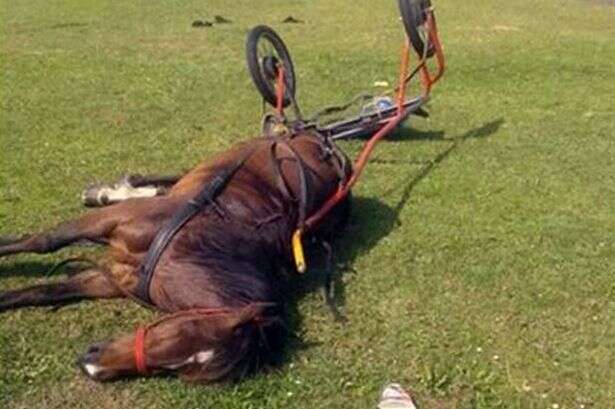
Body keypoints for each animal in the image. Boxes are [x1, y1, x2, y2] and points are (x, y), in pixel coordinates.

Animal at [0, 131, 352, 382]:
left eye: (176, 369)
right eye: (177, 329)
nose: (91, 365)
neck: (191, 246)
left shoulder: (113, 278)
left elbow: (46, 291)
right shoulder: (112, 220)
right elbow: (44, 242)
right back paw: (108, 191)